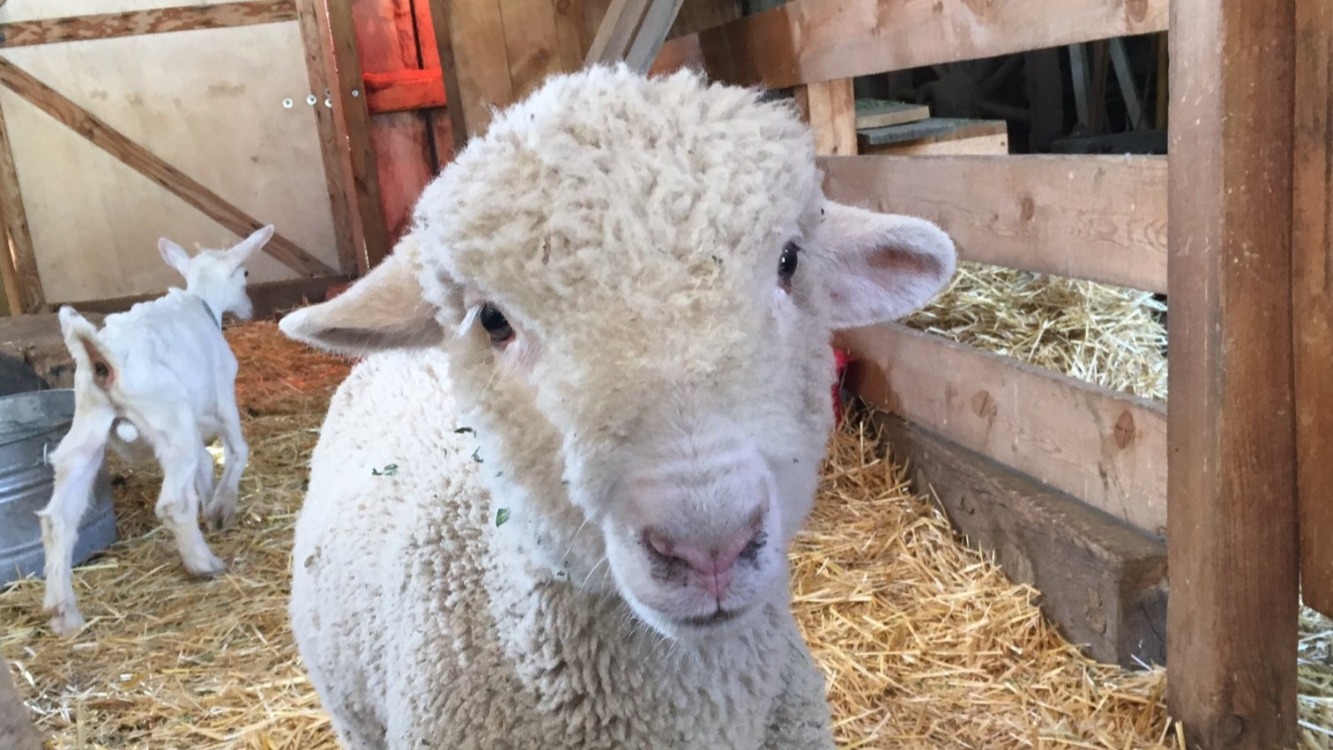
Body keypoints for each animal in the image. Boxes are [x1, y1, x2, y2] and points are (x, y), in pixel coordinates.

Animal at [37, 225, 272, 637]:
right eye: (244, 273)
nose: (249, 309)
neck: (200, 300)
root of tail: (104, 359)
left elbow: (205, 465)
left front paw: (210, 506)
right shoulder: (223, 396)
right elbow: (236, 451)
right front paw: (221, 510)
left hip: (87, 428)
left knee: (58, 519)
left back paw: (64, 613)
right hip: (170, 420)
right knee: (173, 504)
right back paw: (204, 564)